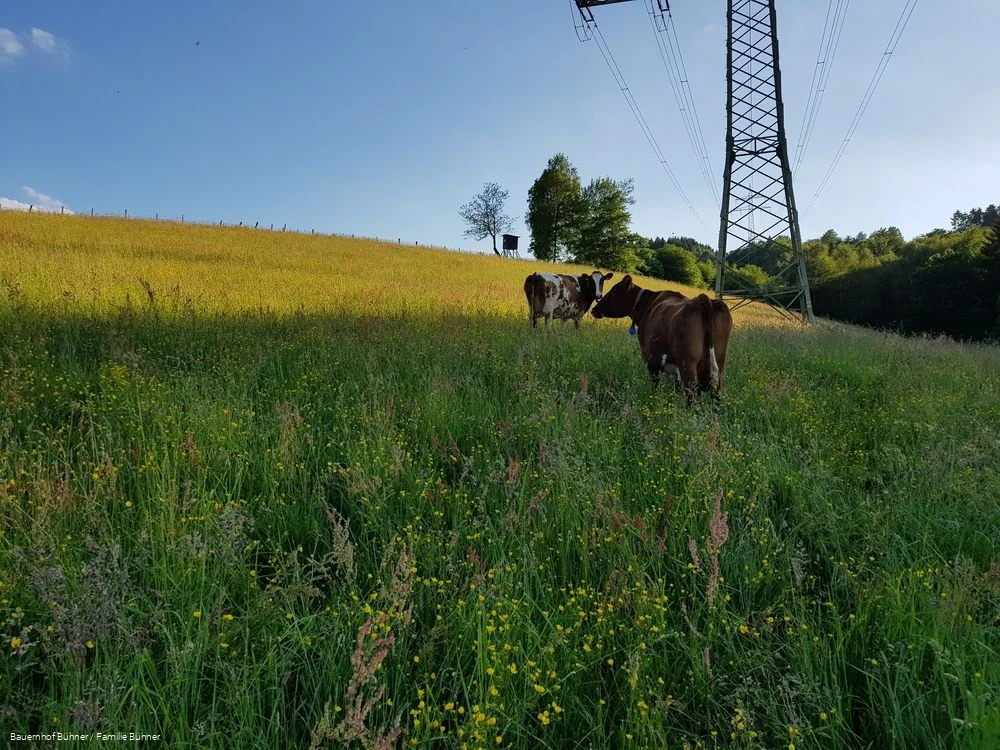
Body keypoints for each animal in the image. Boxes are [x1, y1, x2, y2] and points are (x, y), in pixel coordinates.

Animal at [590, 275, 733, 399]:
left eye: (614, 290)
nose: (594, 309)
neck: (648, 304)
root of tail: (702, 299)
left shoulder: (649, 359)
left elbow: (655, 384)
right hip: (720, 366)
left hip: (688, 364)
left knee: (690, 395)